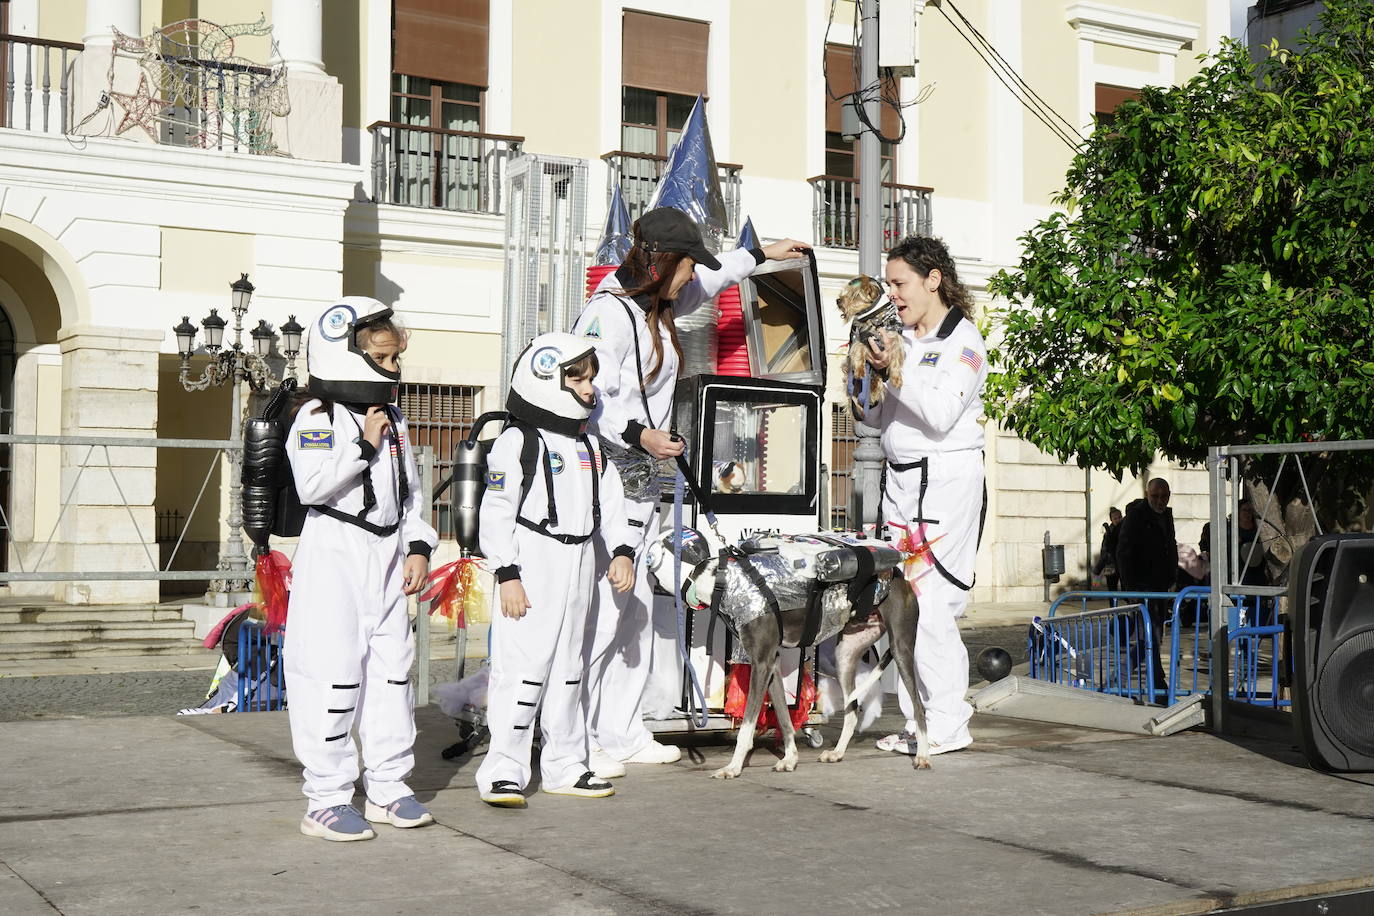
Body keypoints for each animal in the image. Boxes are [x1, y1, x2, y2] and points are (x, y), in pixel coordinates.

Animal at [835, 271, 901, 414]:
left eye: (853, 295)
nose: (838, 300)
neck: (876, 319)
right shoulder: (861, 338)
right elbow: (859, 350)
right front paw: (860, 371)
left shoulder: (895, 338)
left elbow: (896, 358)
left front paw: (897, 379)